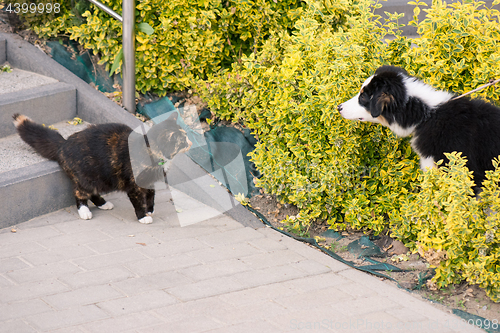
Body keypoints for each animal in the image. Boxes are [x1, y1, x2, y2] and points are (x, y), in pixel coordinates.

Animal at [13, 113, 190, 224]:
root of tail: (63, 144)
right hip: (88, 177)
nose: (190, 142)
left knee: (92, 193)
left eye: (186, 136)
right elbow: (138, 201)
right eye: (182, 140)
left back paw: (103, 204)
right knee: (79, 192)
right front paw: (143, 216)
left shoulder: (149, 181)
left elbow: (151, 194)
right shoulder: (133, 184)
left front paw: (150, 209)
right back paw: (84, 211)